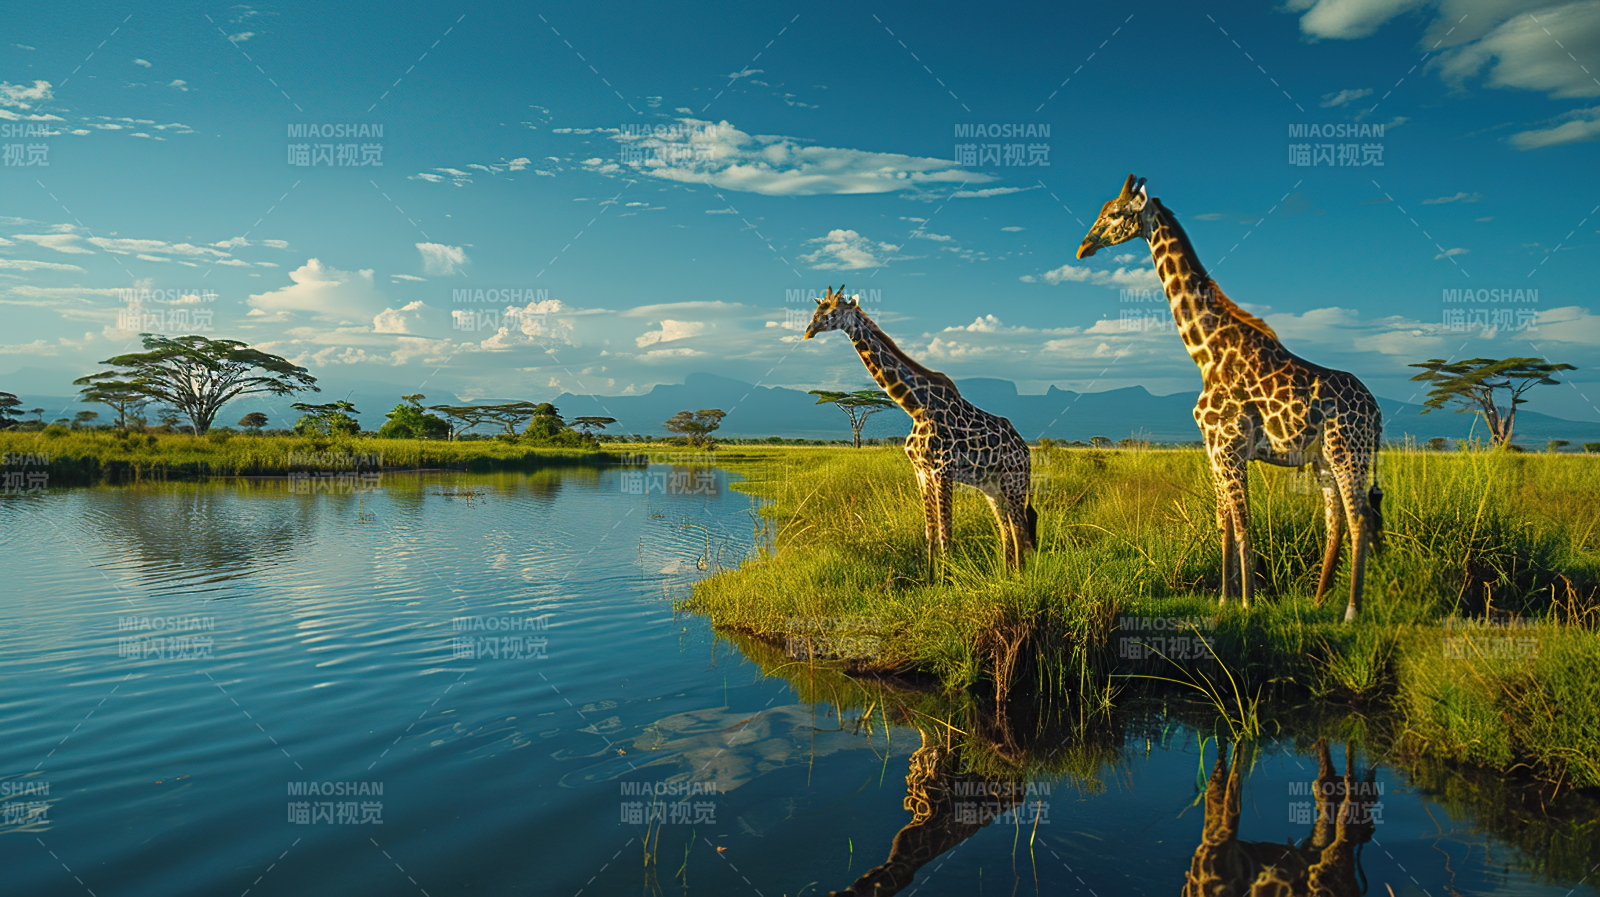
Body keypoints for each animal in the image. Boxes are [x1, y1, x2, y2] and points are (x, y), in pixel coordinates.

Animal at [804, 285, 1036, 573]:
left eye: (833, 312)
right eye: (816, 310)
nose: (809, 331)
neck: (916, 406)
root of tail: (1025, 449)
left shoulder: (942, 471)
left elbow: (946, 535)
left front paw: (948, 580)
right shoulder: (921, 471)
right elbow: (930, 533)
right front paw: (930, 578)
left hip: (1014, 480)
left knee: (1021, 530)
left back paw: (1020, 576)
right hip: (992, 487)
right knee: (1007, 530)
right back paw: (1007, 574)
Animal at [1077, 175, 1384, 621]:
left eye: (1115, 214)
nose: (1084, 246)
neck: (1208, 353)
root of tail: (1377, 412)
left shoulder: (1231, 446)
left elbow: (1242, 524)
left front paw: (1247, 602)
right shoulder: (1213, 448)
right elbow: (1223, 521)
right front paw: (1225, 598)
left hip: (1350, 451)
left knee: (1360, 518)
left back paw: (1352, 611)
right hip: (1325, 458)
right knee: (1338, 521)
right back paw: (1318, 600)